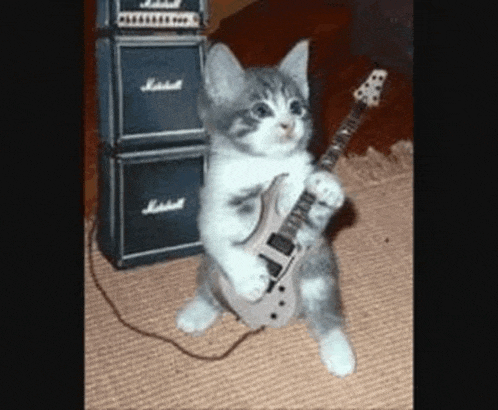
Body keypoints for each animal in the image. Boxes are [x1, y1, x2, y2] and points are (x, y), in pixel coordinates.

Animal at [175, 40, 354, 376]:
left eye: (296, 107)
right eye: (261, 110)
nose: (288, 124)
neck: (265, 166)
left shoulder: (307, 233)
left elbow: (314, 215)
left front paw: (326, 186)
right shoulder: (214, 204)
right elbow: (219, 239)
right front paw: (249, 278)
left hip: (319, 267)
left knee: (323, 305)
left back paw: (337, 348)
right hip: (209, 267)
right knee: (208, 284)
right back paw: (197, 311)